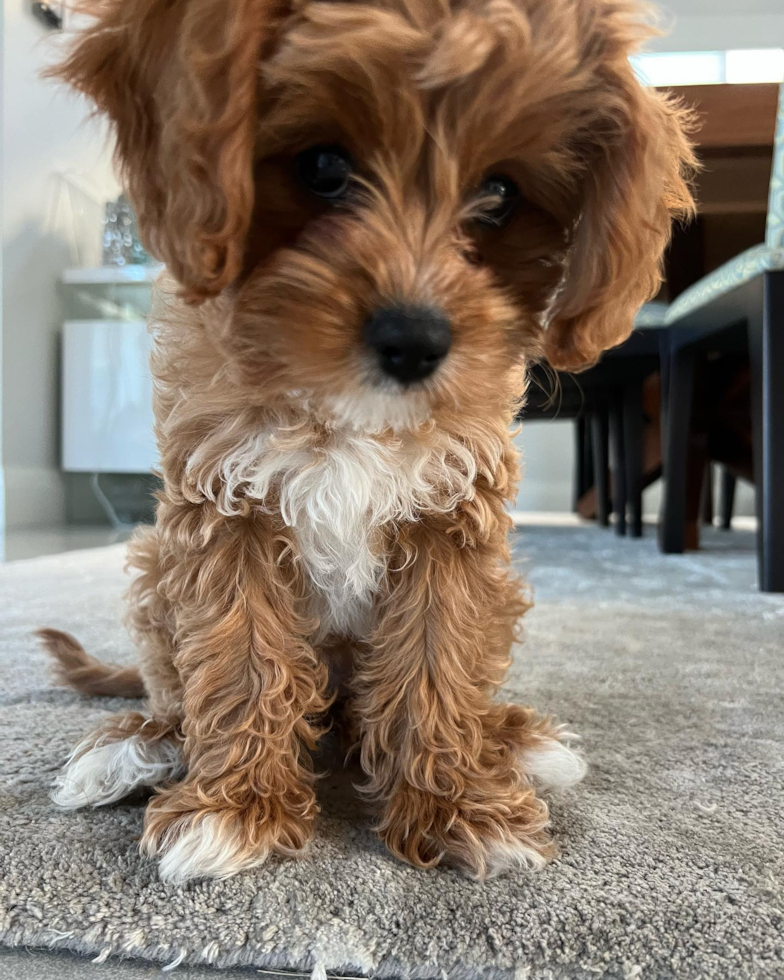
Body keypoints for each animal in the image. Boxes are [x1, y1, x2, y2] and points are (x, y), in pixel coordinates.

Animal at [39, 0, 696, 888]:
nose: (414, 342)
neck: (347, 414)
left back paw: (512, 739)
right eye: (322, 166)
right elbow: (238, 659)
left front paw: (454, 806)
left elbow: (437, 661)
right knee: (175, 692)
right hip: (150, 567)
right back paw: (140, 747)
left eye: (498, 192)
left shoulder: (452, 515)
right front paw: (235, 809)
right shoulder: (222, 506)